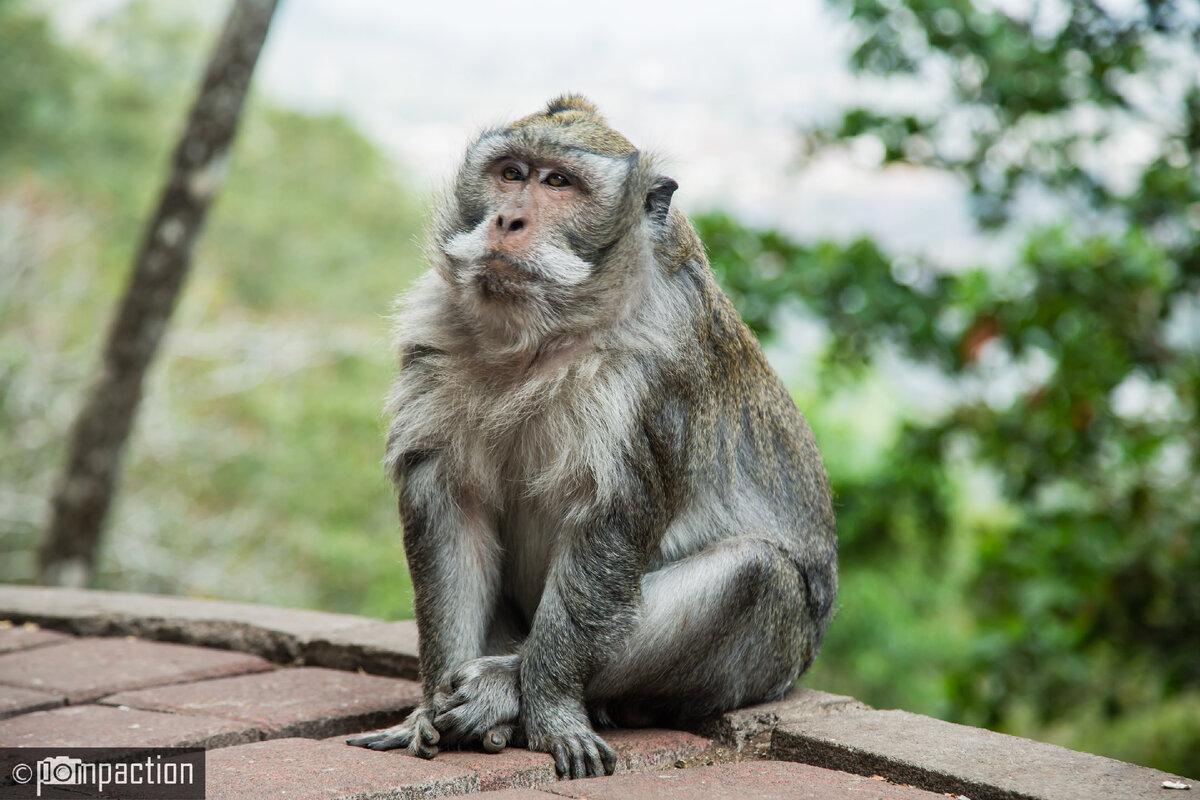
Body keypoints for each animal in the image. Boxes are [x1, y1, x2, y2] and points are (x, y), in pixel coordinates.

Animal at [348, 97, 835, 777]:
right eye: (511, 172)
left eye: (559, 183)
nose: (509, 218)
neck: (543, 336)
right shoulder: (434, 336)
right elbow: (451, 512)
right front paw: (426, 708)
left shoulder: (654, 377)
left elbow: (609, 528)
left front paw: (551, 708)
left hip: (774, 660)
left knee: (755, 575)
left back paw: (505, 686)